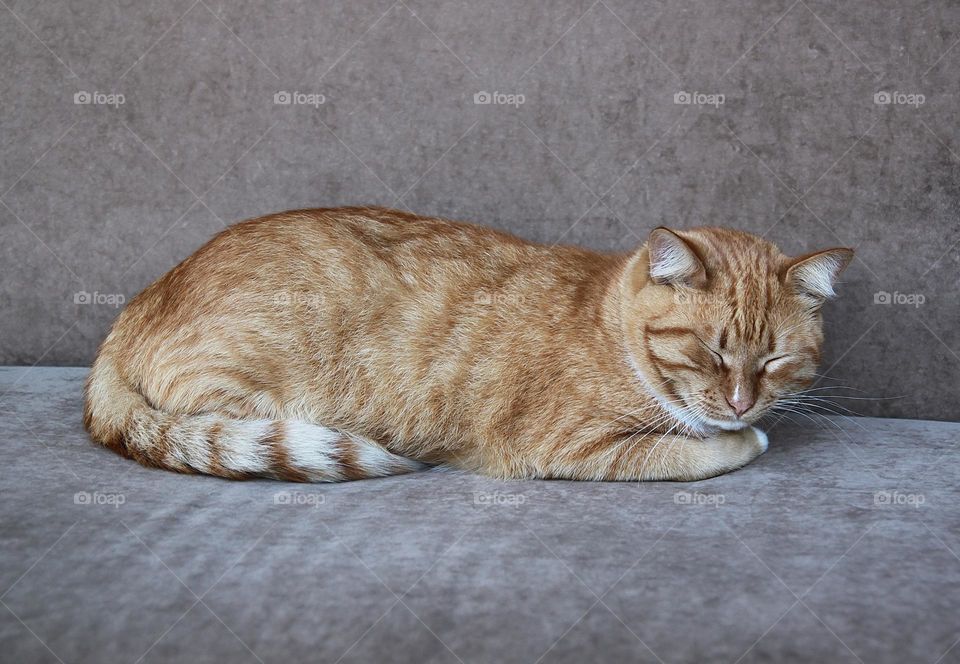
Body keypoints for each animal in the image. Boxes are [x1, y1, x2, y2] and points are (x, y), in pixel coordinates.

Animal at [80, 205, 848, 480]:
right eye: (710, 352)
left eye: (775, 359)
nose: (742, 403)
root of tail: (143, 298)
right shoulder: (565, 447)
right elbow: (694, 455)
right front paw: (742, 439)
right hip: (253, 395)